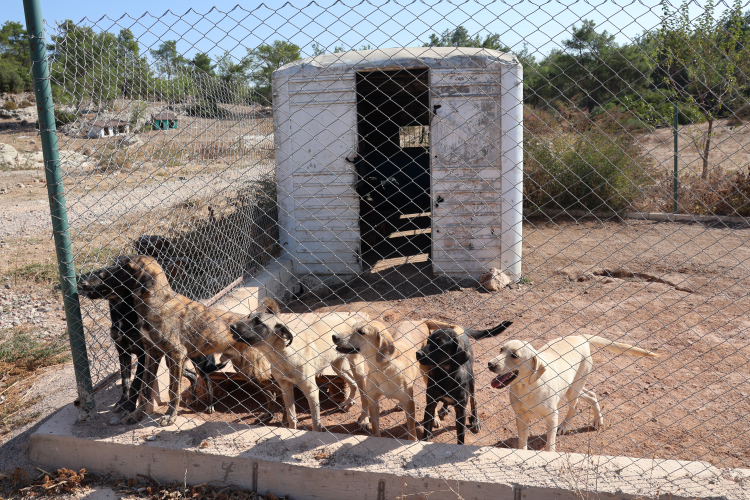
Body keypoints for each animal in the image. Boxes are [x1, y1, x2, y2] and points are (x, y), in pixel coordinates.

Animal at [231, 300, 368, 434]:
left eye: (258, 322)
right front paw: (292, 431)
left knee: (364, 393)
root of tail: (351, 320)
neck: (282, 354)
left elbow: (316, 423)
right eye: (248, 317)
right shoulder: (285, 387)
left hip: (357, 367)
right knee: (353, 383)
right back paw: (349, 403)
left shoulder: (312, 391)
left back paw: (364, 421)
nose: (232, 326)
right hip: (338, 366)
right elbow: (291, 417)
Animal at [488, 334, 656, 452]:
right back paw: (597, 420)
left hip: (574, 389)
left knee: (574, 406)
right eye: (501, 350)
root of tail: (580, 337)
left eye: (514, 355)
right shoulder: (521, 418)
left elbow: (550, 445)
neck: (527, 388)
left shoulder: (552, 417)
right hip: (574, 387)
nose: (490, 364)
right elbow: (522, 444)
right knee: (592, 394)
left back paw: (566, 425)